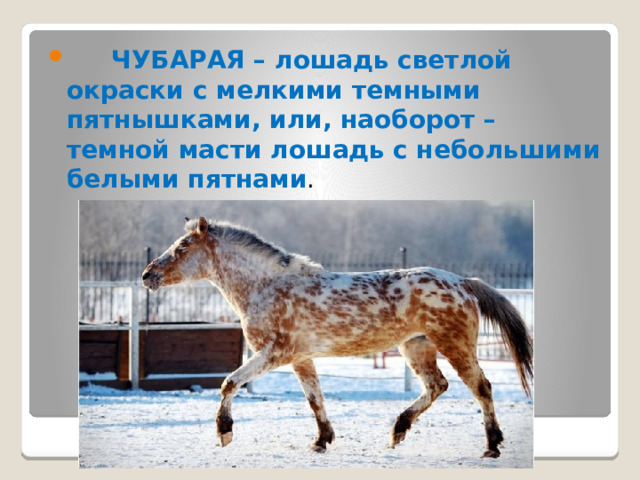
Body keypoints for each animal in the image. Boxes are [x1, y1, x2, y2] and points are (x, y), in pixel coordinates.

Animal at [141, 217, 533, 458]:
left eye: (182, 247)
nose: (147, 275)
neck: (266, 286)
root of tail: (464, 282)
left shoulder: (275, 353)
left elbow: (229, 383)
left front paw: (224, 432)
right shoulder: (301, 358)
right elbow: (315, 400)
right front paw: (321, 441)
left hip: (455, 346)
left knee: (481, 388)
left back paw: (492, 446)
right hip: (415, 347)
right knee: (437, 386)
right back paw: (398, 430)